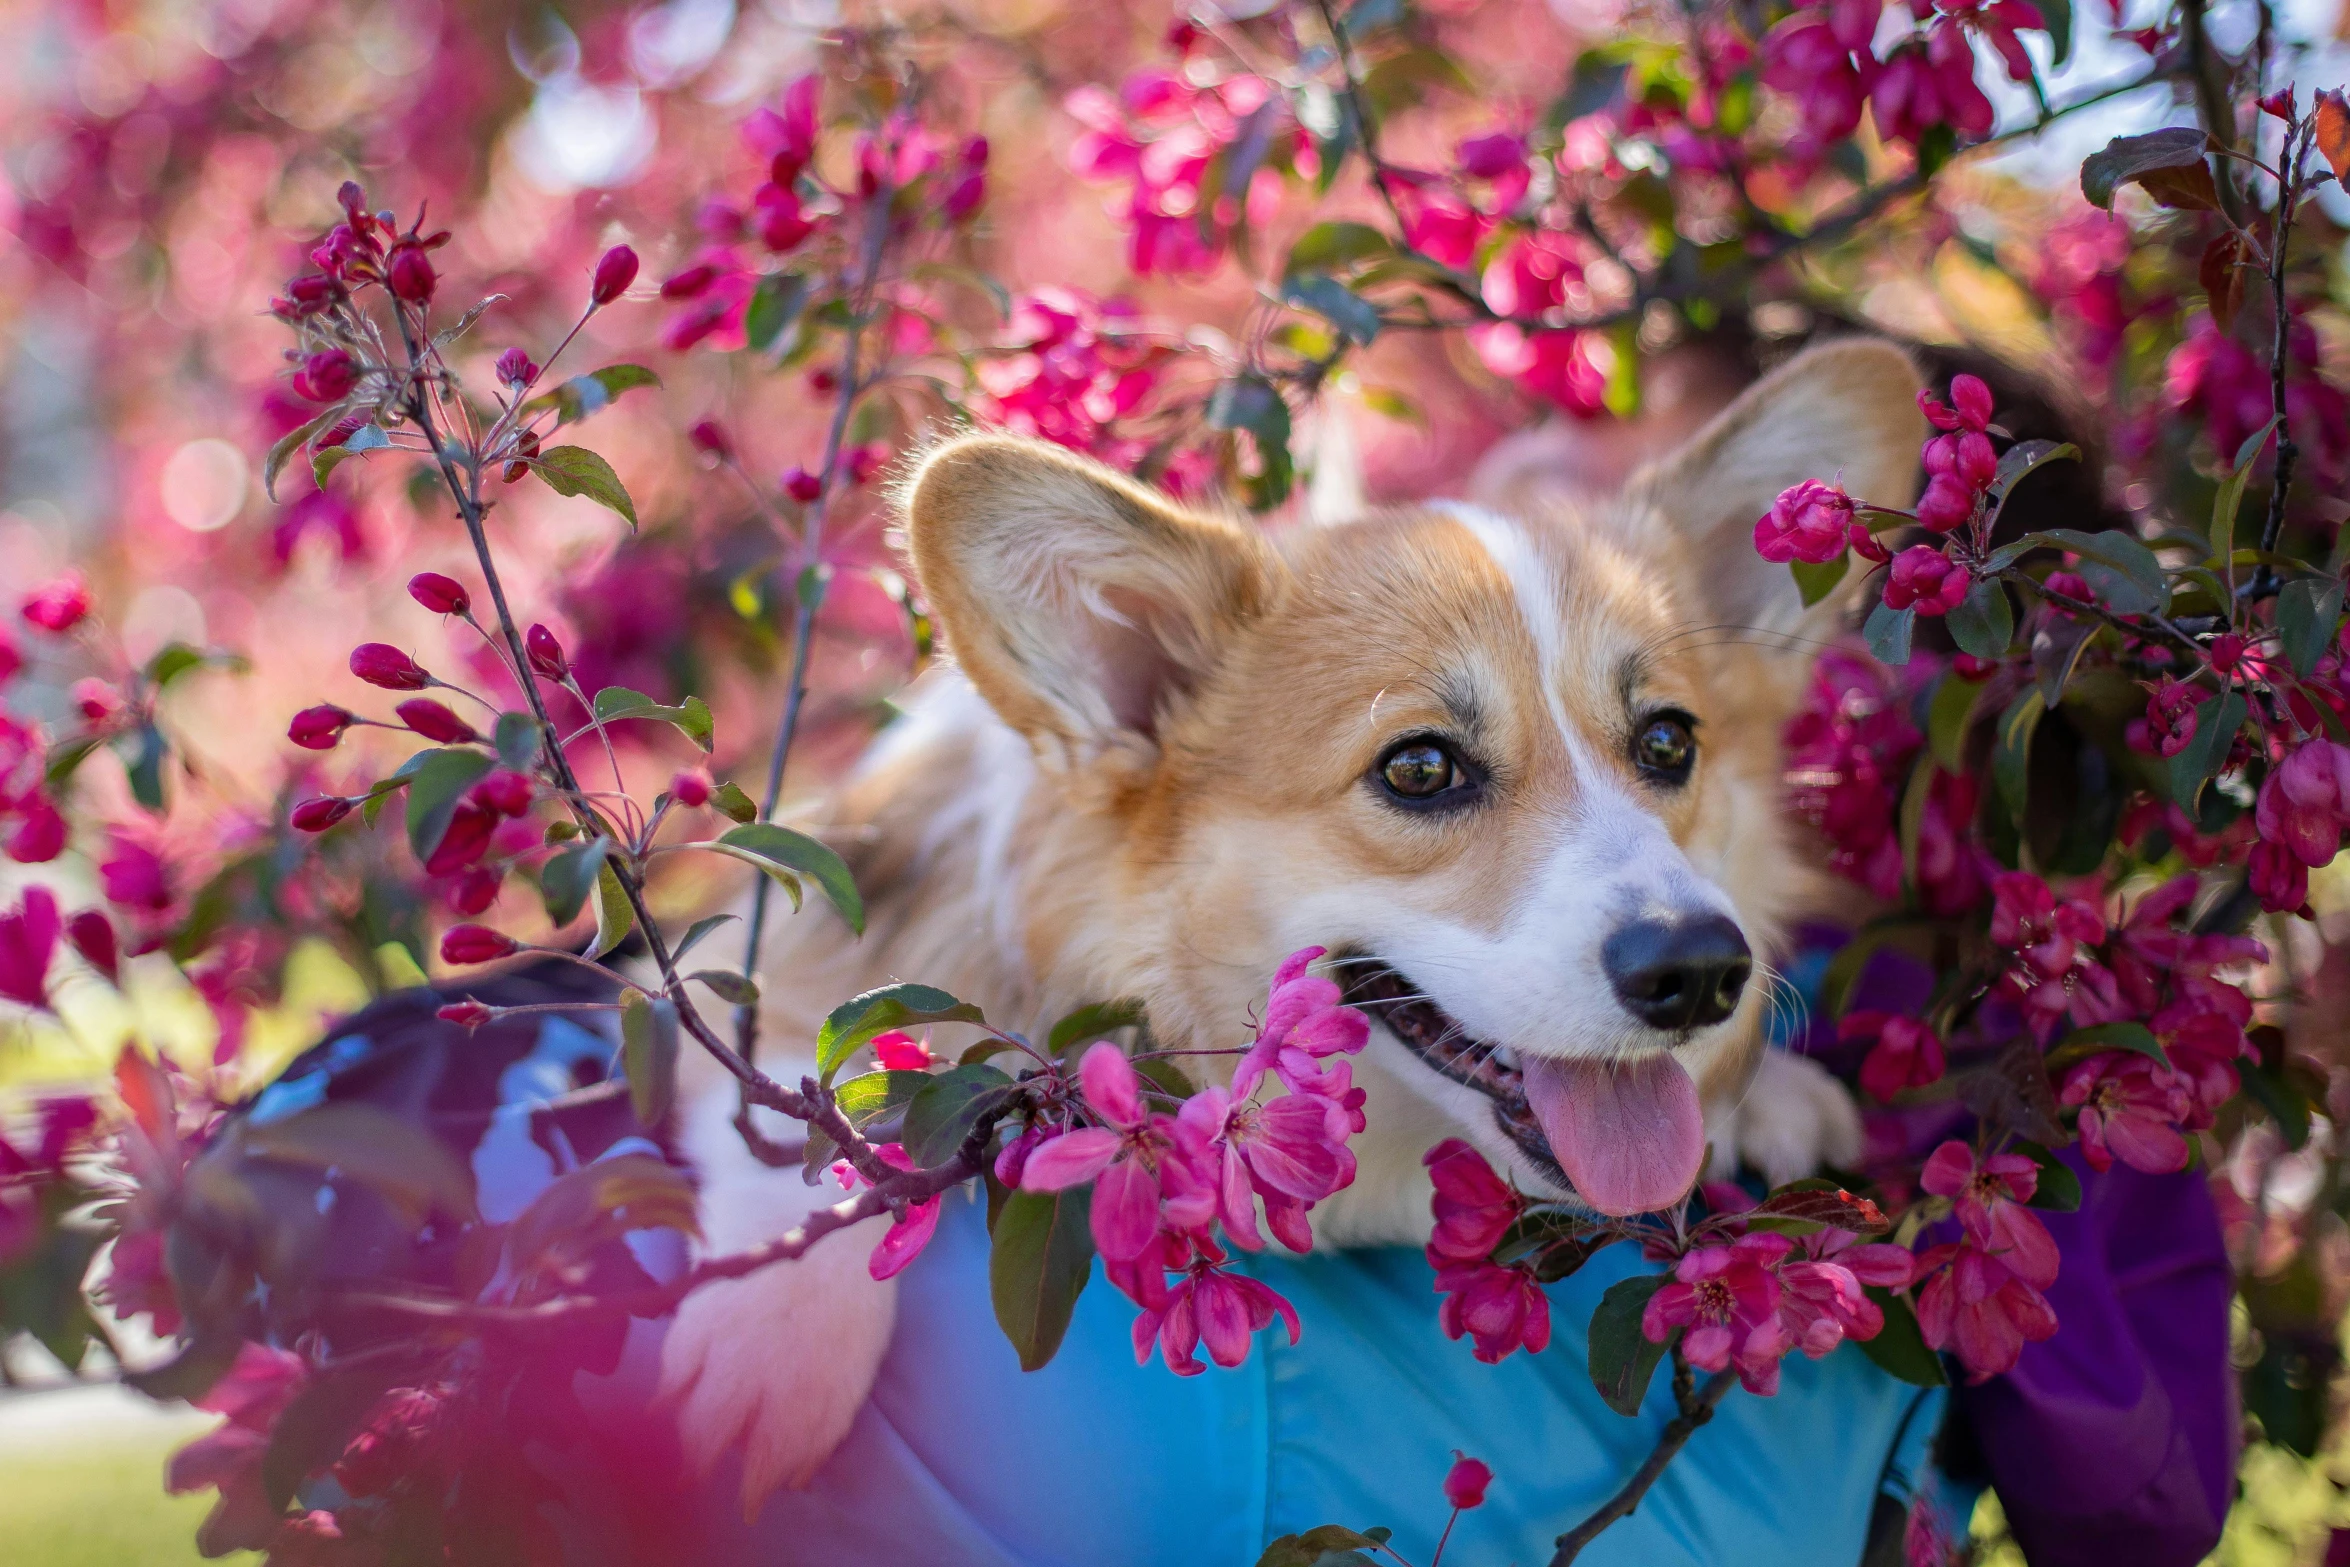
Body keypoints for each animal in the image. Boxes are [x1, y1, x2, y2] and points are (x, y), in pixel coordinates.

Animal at [658, 340, 1926, 1503]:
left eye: (1668, 741)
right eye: (1419, 768)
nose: (1700, 973)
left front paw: (1767, 1091)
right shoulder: (786, 961)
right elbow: (802, 1116)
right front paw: (767, 1341)